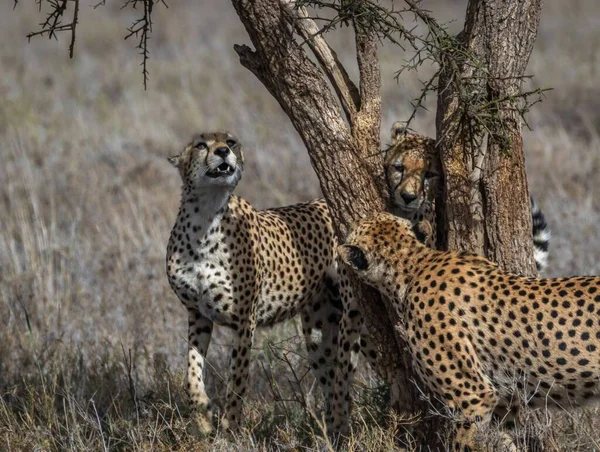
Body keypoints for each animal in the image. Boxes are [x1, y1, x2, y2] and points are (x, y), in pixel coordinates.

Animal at [165, 132, 342, 432]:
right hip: (320, 330)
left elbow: (237, 379)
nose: (223, 152)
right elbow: (191, 370)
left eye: (230, 141)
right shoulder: (198, 314)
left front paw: (229, 429)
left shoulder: (244, 320)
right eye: (201, 145)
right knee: (334, 382)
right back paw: (332, 432)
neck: (204, 218)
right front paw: (203, 415)